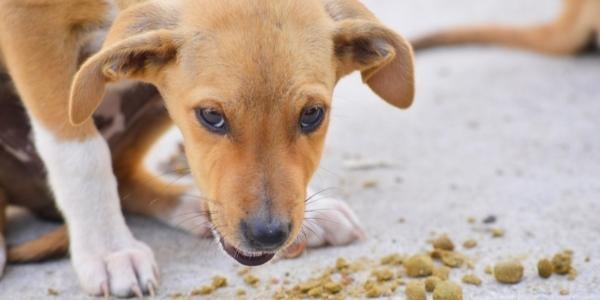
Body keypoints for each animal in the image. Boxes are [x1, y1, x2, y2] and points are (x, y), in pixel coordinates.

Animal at [0, 0, 412, 296]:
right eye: (211, 116)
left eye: (312, 114)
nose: (268, 234)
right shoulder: (30, 25)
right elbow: (80, 152)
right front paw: (109, 250)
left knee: (126, 174)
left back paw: (189, 204)